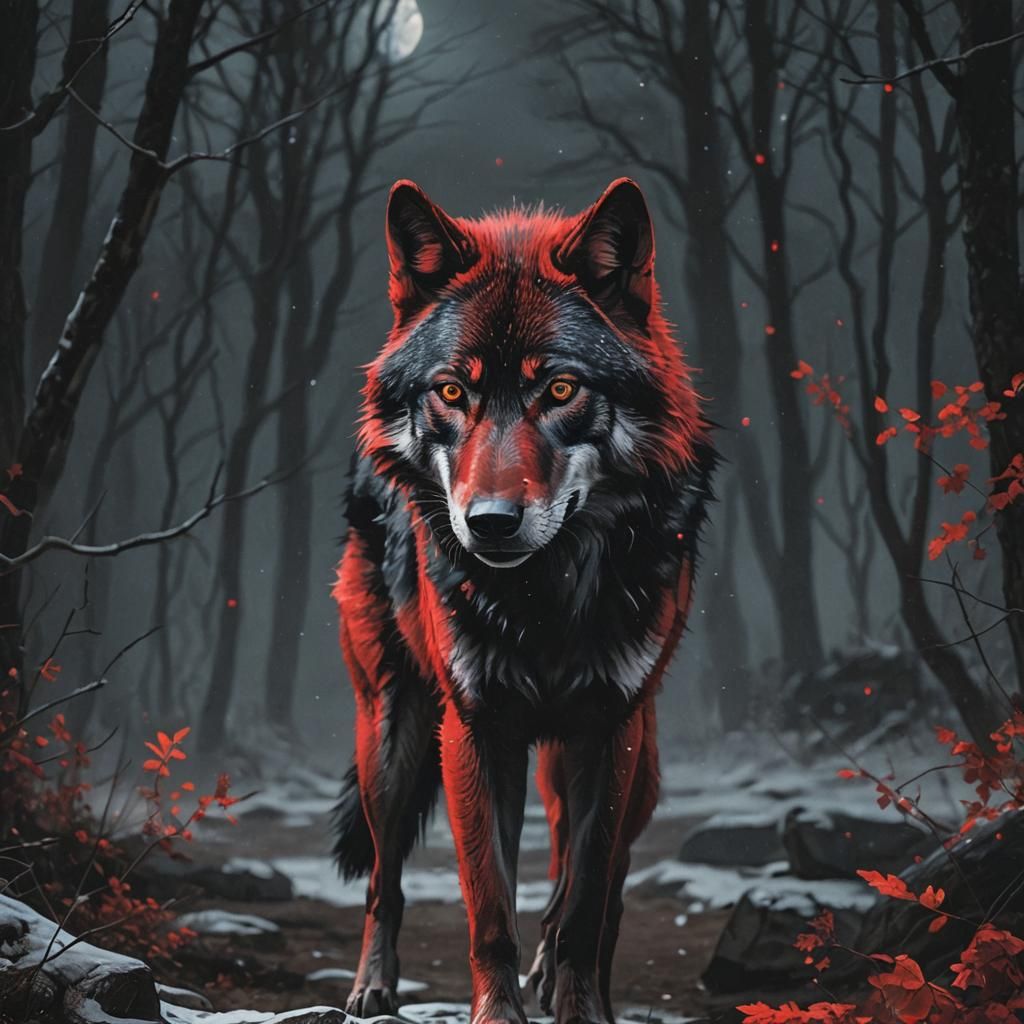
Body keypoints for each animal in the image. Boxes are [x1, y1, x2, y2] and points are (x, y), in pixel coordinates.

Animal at [331, 178, 714, 1024]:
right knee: (382, 879)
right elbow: (489, 909)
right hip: (391, 735)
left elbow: (583, 902)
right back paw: (371, 987)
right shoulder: (475, 732)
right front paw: (499, 1010)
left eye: (561, 389)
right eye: (452, 391)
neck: (548, 600)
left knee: (593, 884)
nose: (490, 523)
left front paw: (577, 1007)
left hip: (629, 765)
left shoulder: (610, 730)